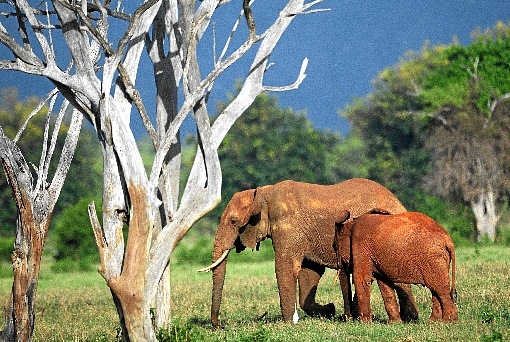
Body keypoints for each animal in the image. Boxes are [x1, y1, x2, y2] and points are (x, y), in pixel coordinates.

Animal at [198, 178, 418, 328]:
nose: (219, 326)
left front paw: (287, 323)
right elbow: (309, 272)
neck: (263, 193)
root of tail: (397, 201)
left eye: (234, 221)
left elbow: (286, 267)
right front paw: (330, 311)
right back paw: (407, 318)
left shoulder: (289, 227)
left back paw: (406, 319)